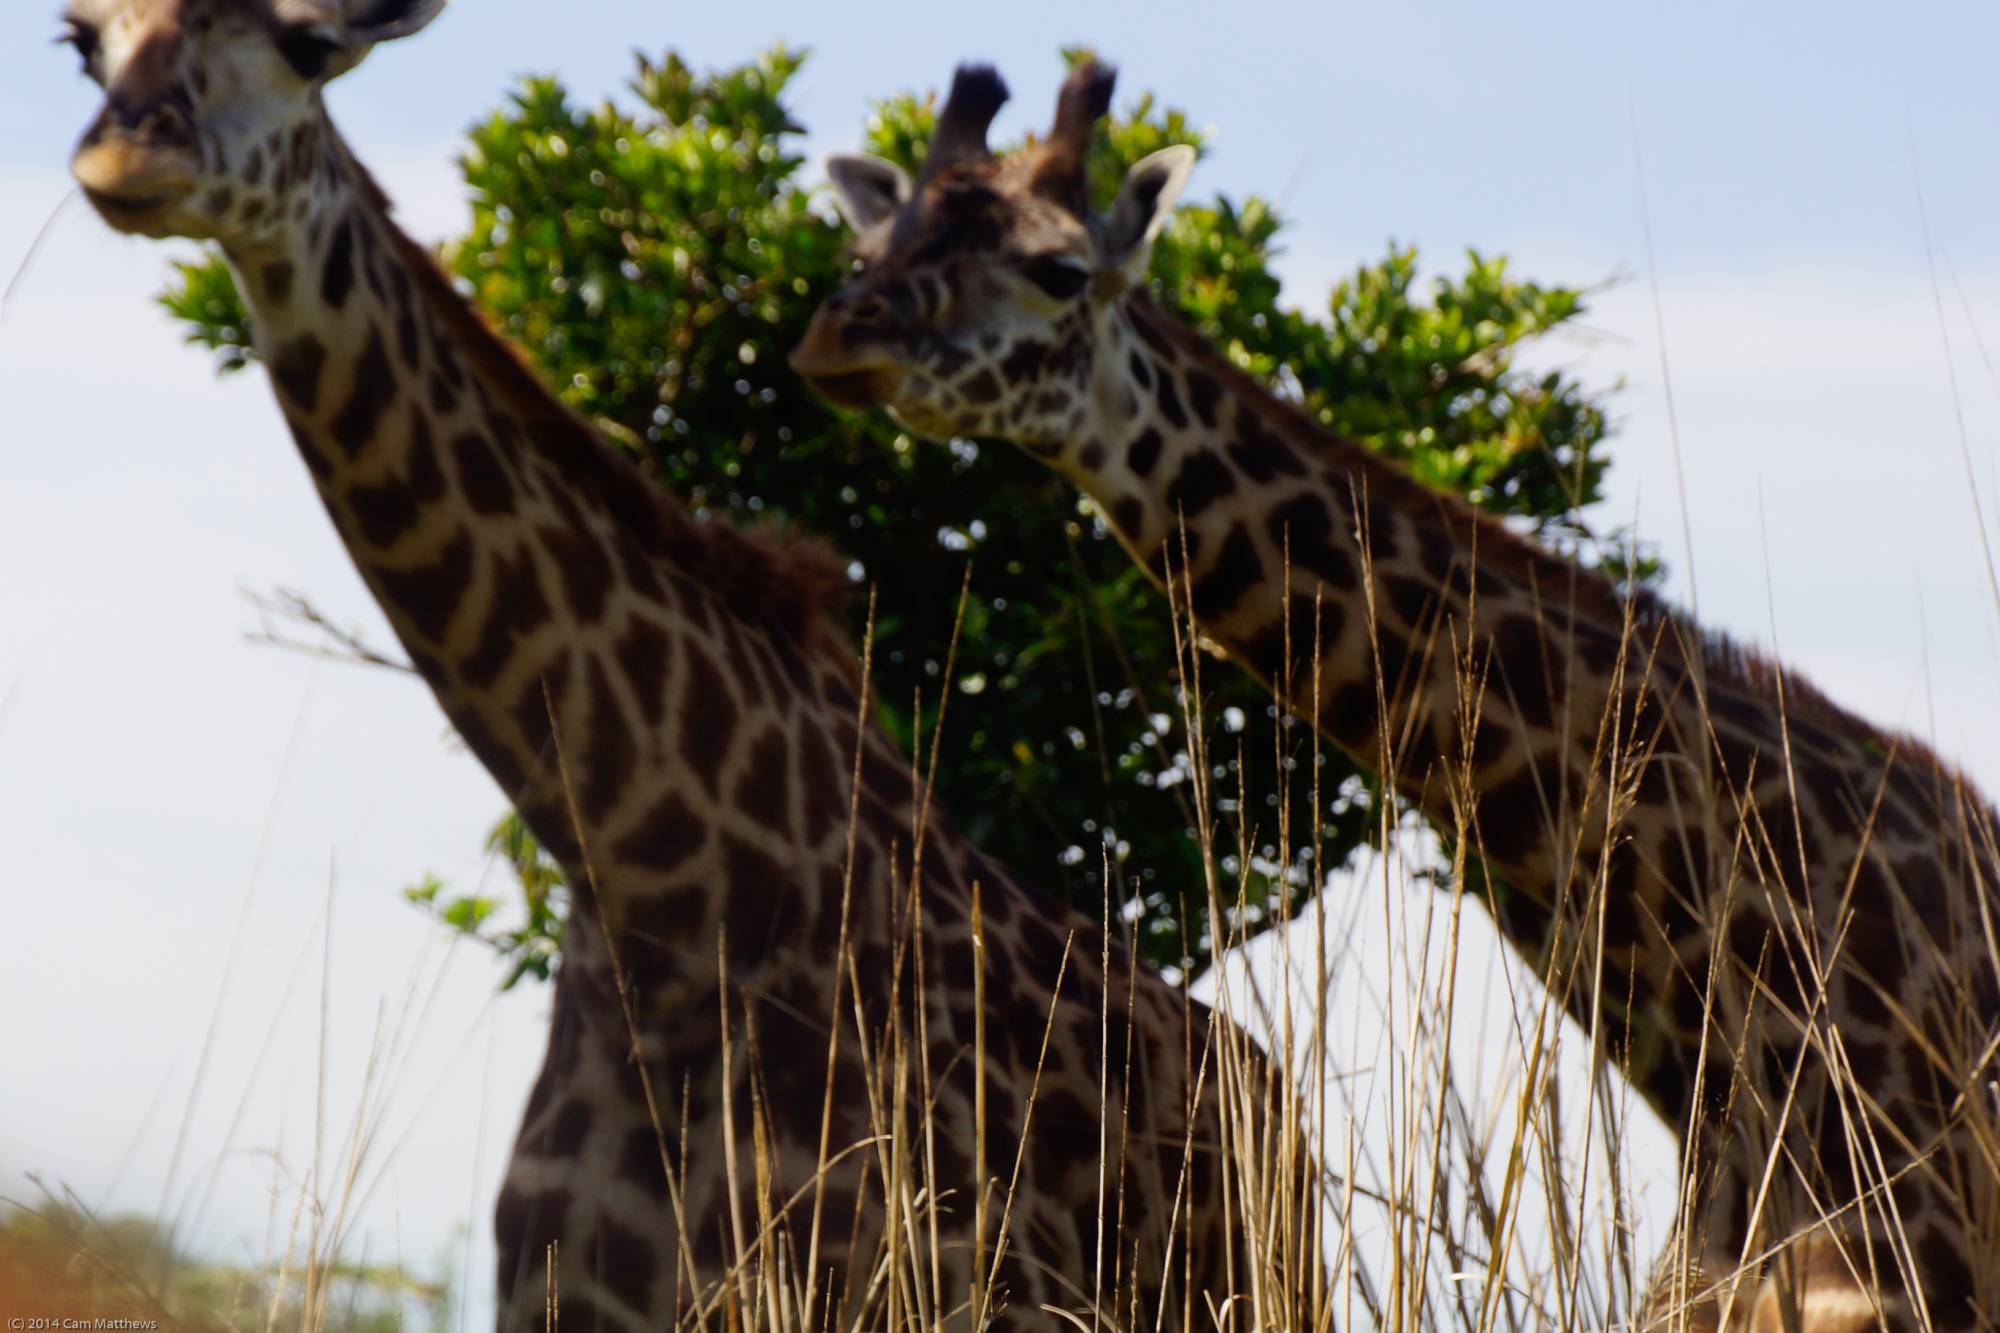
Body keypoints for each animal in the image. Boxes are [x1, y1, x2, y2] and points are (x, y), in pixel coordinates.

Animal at [58, 13, 1312, 1328]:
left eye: (307, 42)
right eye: (85, 40)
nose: (125, 161)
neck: (661, 884)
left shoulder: (948, 1287)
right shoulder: (567, 1298)